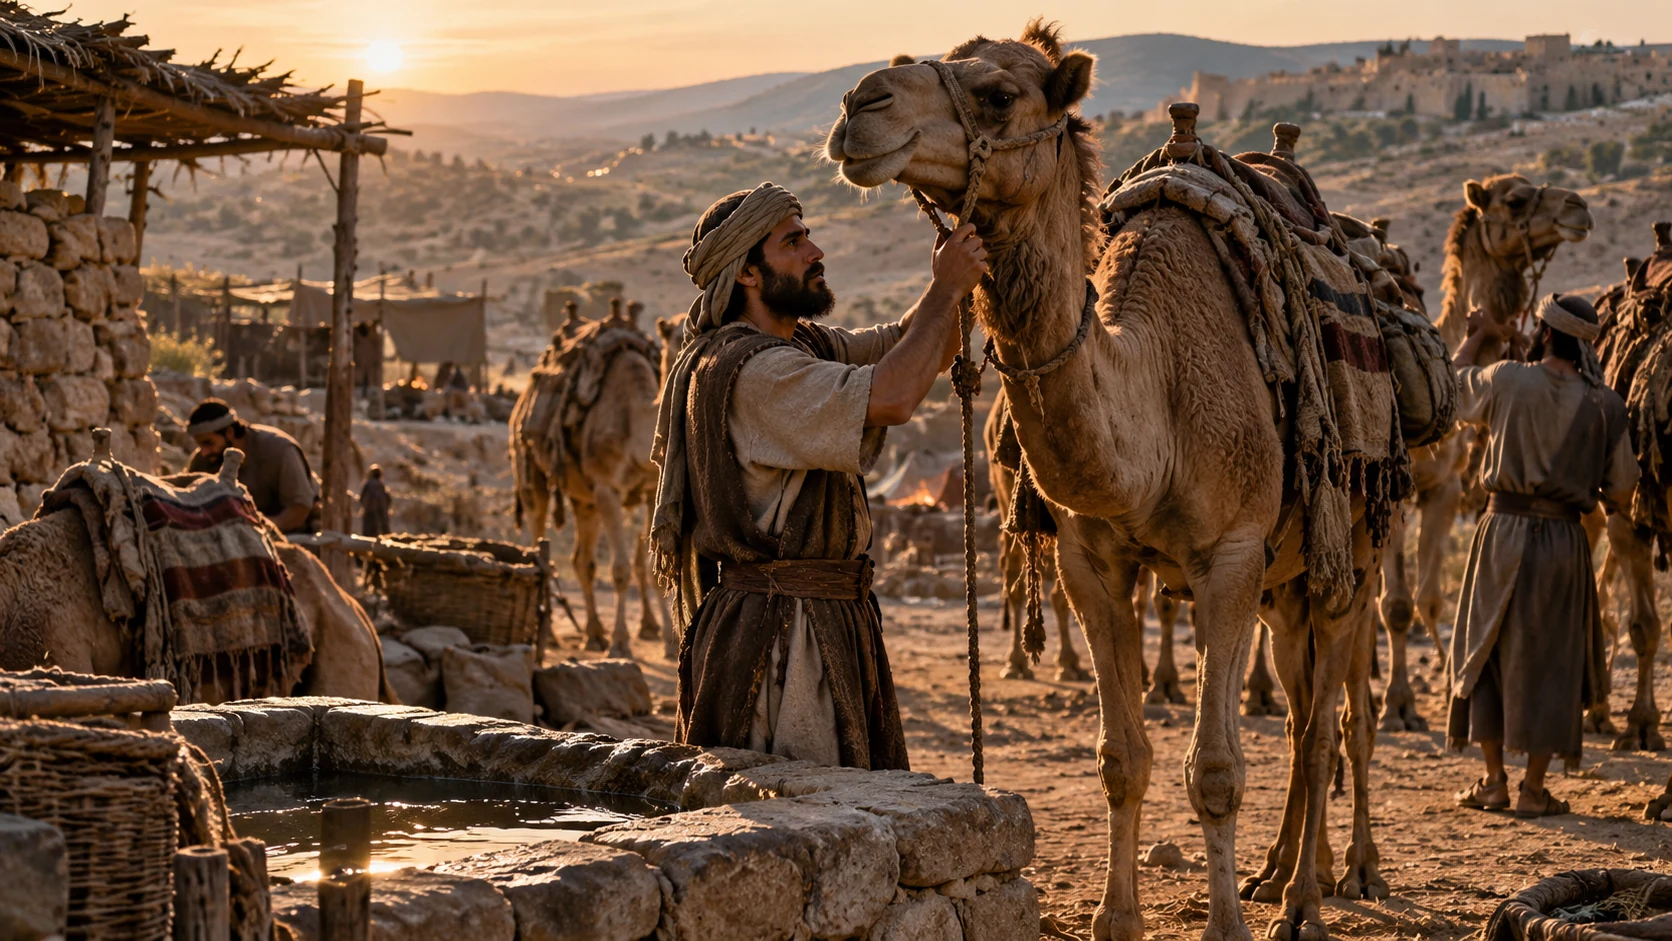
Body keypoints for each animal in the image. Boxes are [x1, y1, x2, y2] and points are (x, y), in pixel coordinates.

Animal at [509, 320, 669, 660]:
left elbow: (652, 567)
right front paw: (620, 644)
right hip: (528, 465)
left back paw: (594, 634)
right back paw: (553, 636)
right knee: (539, 536)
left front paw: (670, 643)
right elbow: (620, 569)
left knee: (582, 561)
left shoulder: (652, 491)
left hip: (584, 499)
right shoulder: (607, 488)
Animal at [830, 23, 1389, 940]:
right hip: (1287, 578)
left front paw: (1226, 925)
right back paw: (1276, 871)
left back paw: (1311, 895)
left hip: (1354, 551)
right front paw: (1114, 917)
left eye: (998, 94)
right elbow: (1122, 756)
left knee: (1326, 726)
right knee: (1304, 705)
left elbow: (1216, 768)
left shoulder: (1229, 555)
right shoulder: (1091, 561)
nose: (858, 107)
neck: (1153, 395)